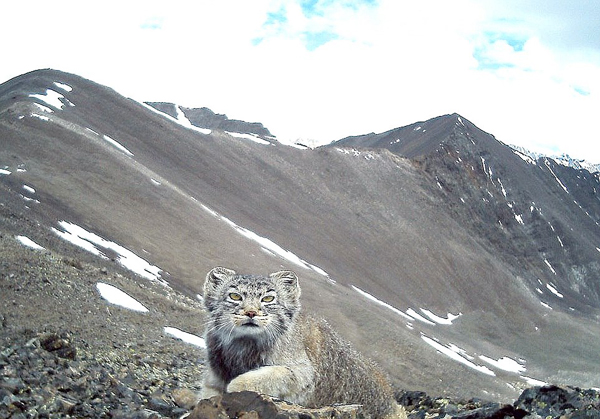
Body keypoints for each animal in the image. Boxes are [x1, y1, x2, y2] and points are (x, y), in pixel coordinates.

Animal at [199, 268, 406, 418]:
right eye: (235, 296)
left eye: (268, 298)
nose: (251, 312)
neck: (242, 346)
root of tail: (392, 400)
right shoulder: (214, 376)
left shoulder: (304, 374)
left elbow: (268, 375)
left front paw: (235, 386)